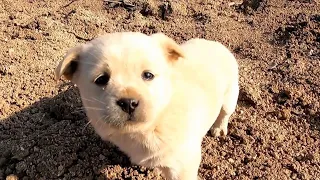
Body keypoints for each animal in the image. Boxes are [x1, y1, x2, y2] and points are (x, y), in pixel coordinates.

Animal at [54, 31, 238, 179]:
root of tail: (216, 43)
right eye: (101, 79)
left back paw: (219, 129)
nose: (128, 103)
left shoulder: (183, 165)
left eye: (148, 75)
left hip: (231, 95)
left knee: (224, 113)